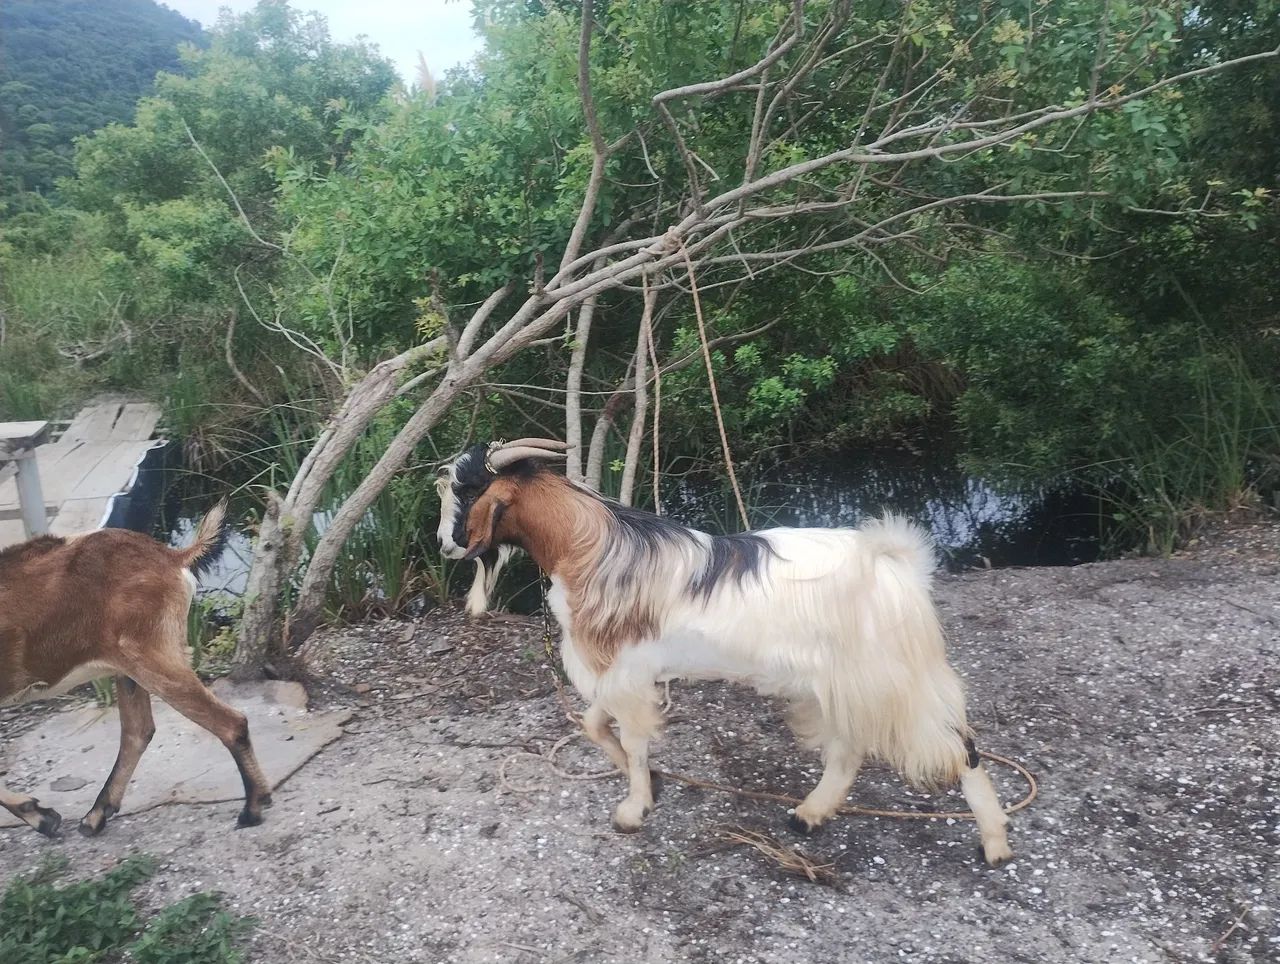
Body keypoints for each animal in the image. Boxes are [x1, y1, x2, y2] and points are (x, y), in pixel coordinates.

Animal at [0, 504, 272, 837]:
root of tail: (173, 557)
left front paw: (41, 817)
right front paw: (42, 816)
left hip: (152, 655)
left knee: (230, 722)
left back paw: (253, 808)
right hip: (129, 666)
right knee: (137, 731)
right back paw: (95, 815)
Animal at [436, 439, 1013, 866]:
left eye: (467, 490)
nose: (444, 545)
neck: (592, 549)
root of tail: (898, 564)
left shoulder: (627, 674)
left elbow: (634, 740)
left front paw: (634, 807)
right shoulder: (619, 672)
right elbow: (594, 726)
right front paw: (653, 784)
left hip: (892, 679)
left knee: (960, 746)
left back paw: (995, 843)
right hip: (841, 682)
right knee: (850, 750)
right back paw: (809, 813)